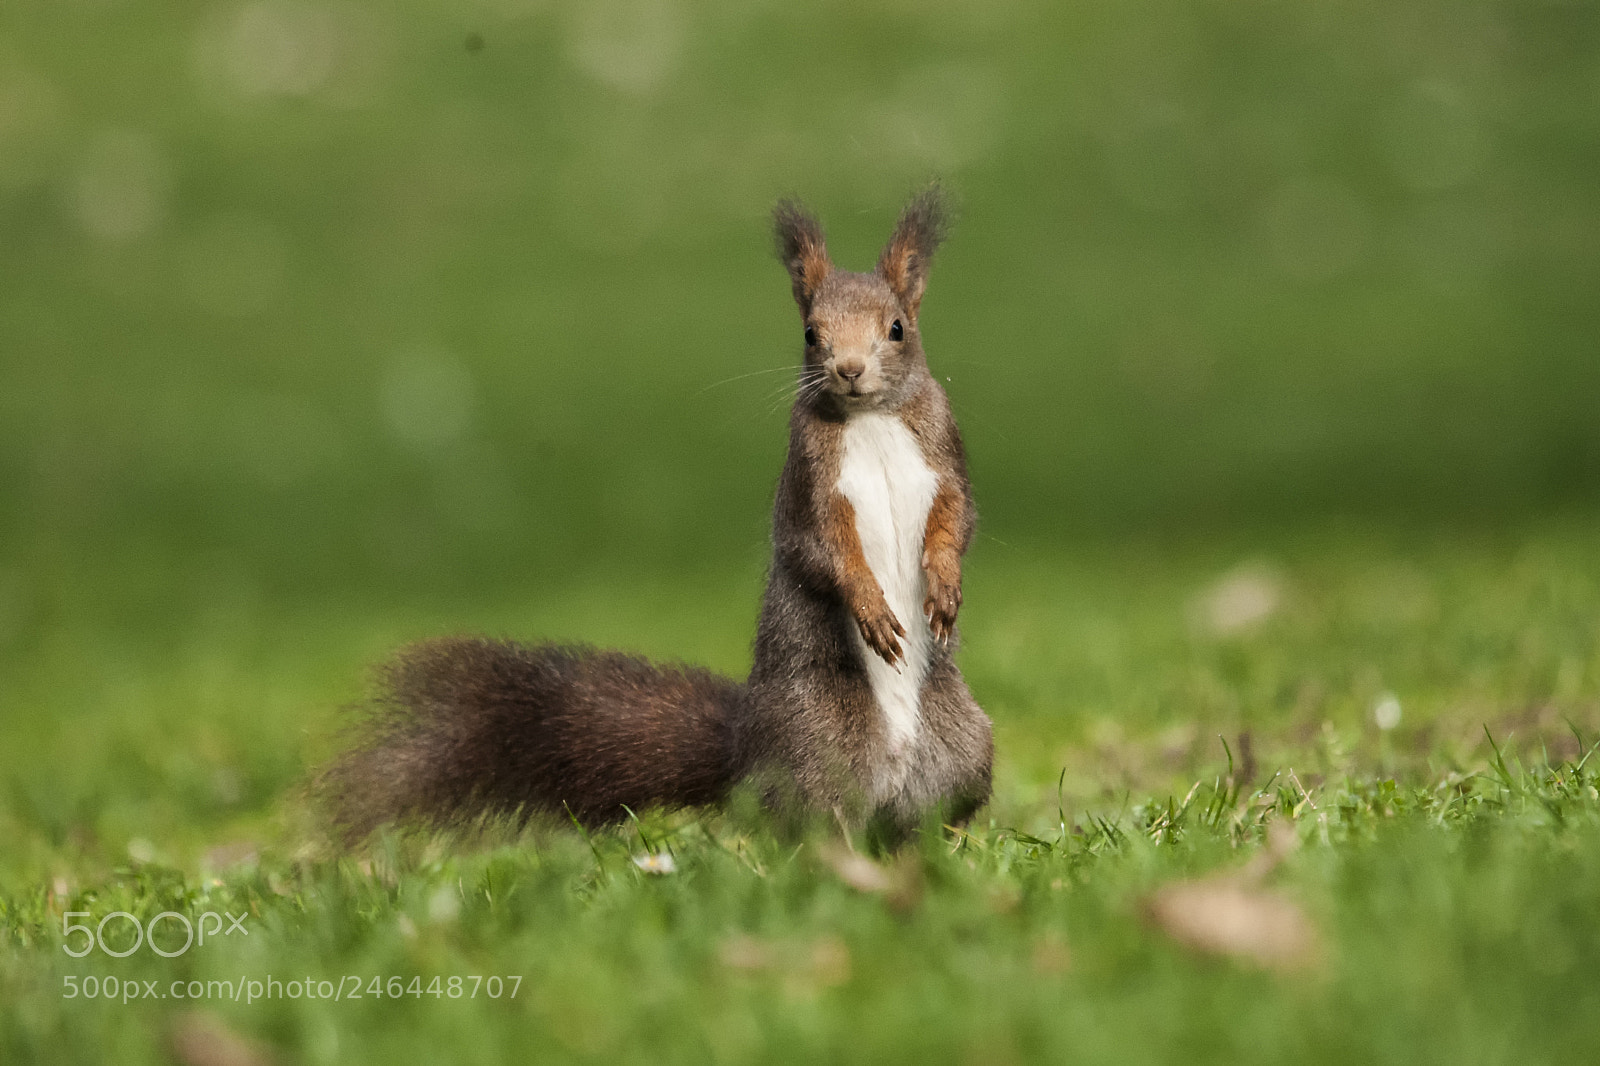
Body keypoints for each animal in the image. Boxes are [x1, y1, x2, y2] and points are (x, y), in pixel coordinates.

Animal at [321, 185, 993, 843]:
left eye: (898, 328)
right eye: (810, 332)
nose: (849, 370)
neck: (870, 418)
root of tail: (745, 755)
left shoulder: (944, 457)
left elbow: (956, 521)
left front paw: (945, 588)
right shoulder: (812, 486)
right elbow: (825, 549)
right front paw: (872, 610)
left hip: (965, 747)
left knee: (938, 812)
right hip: (817, 747)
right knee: (816, 823)